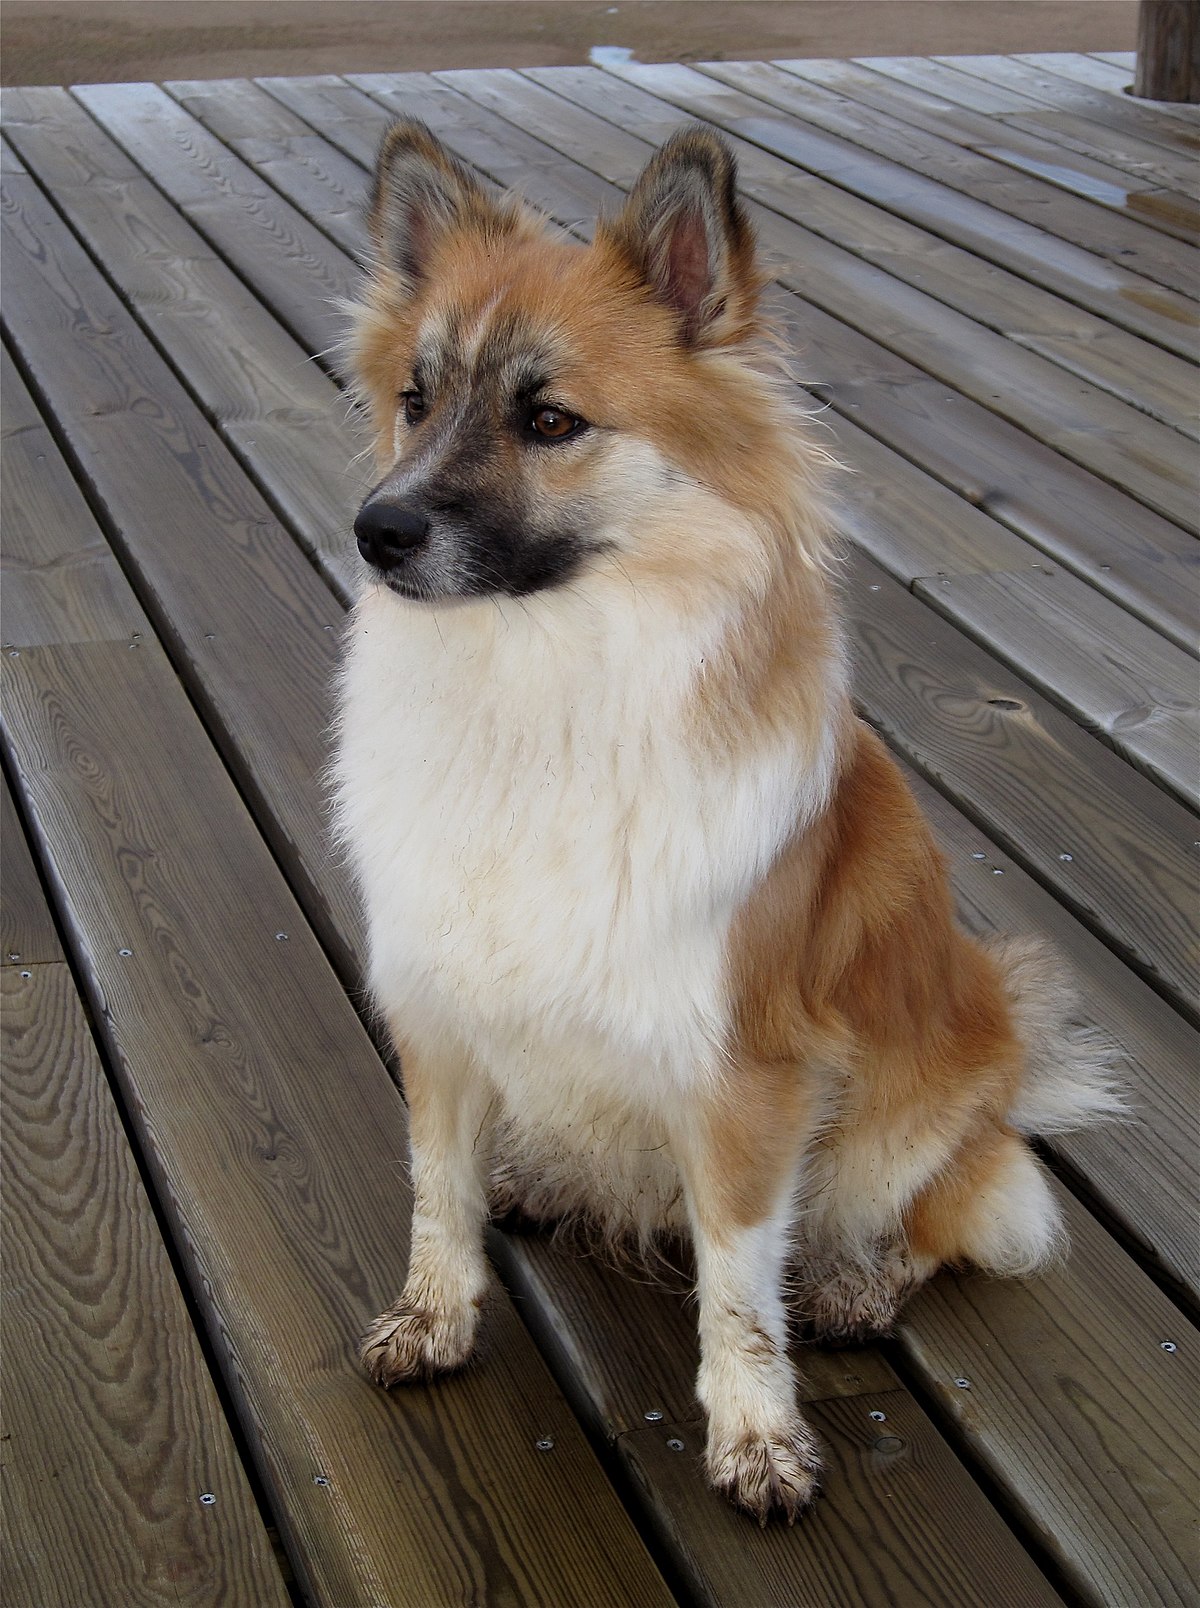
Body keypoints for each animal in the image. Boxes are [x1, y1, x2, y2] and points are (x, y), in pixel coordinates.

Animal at [331, 122, 1119, 1517]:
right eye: (416, 399)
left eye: (550, 420)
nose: (378, 530)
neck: (537, 697)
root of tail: (1011, 1049)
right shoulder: (436, 1011)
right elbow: (436, 1194)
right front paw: (435, 1318)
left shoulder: (745, 1079)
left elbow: (741, 1287)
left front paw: (757, 1435)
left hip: (914, 1118)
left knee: (964, 1213)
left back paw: (860, 1281)